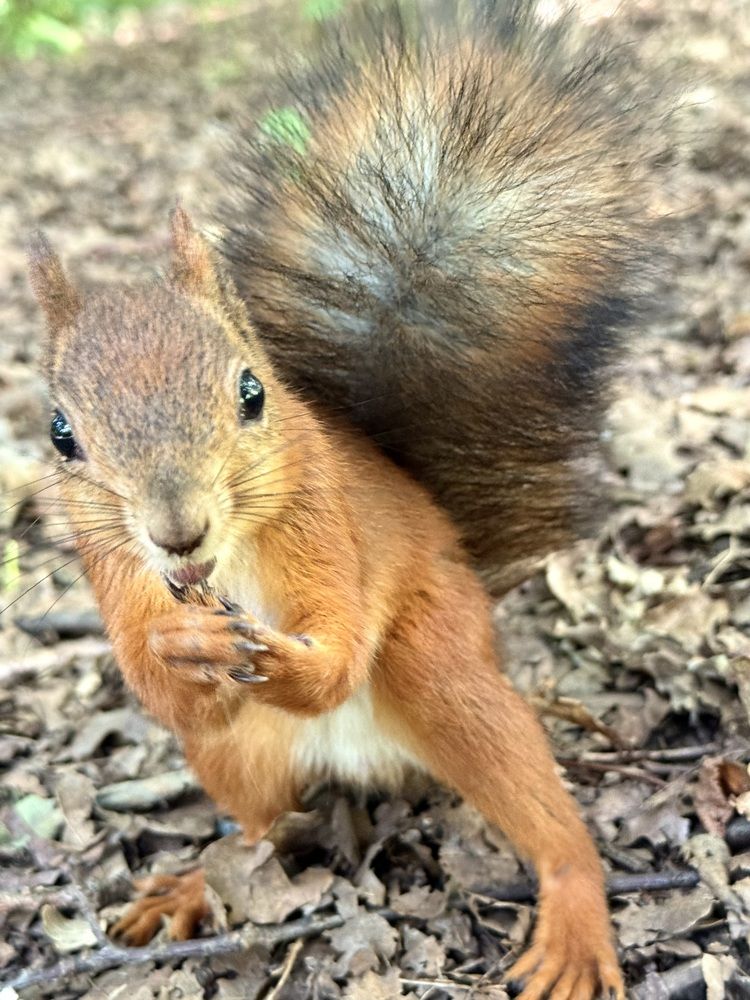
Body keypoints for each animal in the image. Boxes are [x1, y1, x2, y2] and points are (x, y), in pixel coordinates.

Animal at [24, 2, 669, 997]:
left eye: (254, 392)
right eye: (61, 434)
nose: (177, 533)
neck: (229, 565)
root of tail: (362, 762)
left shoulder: (326, 522)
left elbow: (338, 643)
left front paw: (290, 662)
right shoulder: (113, 570)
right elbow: (167, 690)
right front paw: (181, 645)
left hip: (442, 667)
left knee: (535, 802)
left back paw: (572, 914)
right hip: (237, 758)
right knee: (260, 823)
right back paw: (194, 885)